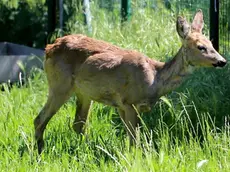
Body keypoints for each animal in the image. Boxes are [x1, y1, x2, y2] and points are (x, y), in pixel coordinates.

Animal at [34, 10, 226, 154]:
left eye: (211, 43)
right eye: (201, 47)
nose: (222, 61)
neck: (154, 79)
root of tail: (49, 48)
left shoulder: (122, 106)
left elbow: (130, 137)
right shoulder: (129, 102)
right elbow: (135, 139)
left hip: (83, 93)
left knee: (78, 124)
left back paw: (86, 148)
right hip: (60, 85)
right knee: (39, 119)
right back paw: (39, 153)